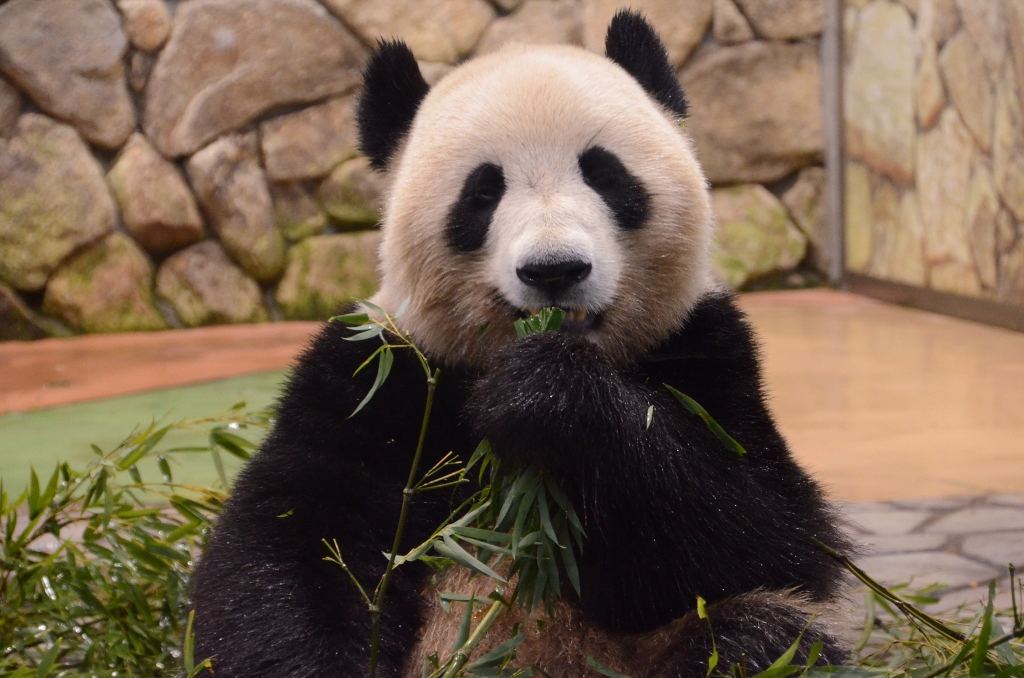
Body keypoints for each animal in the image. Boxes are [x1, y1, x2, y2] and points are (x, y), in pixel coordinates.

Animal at [190, 11, 847, 678]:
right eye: (482, 192)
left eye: (605, 174)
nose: (555, 269)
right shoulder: (378, 376)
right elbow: (288, 545)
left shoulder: (705, 351)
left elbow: (767, 533)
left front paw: (547, 397)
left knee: (760, 636)